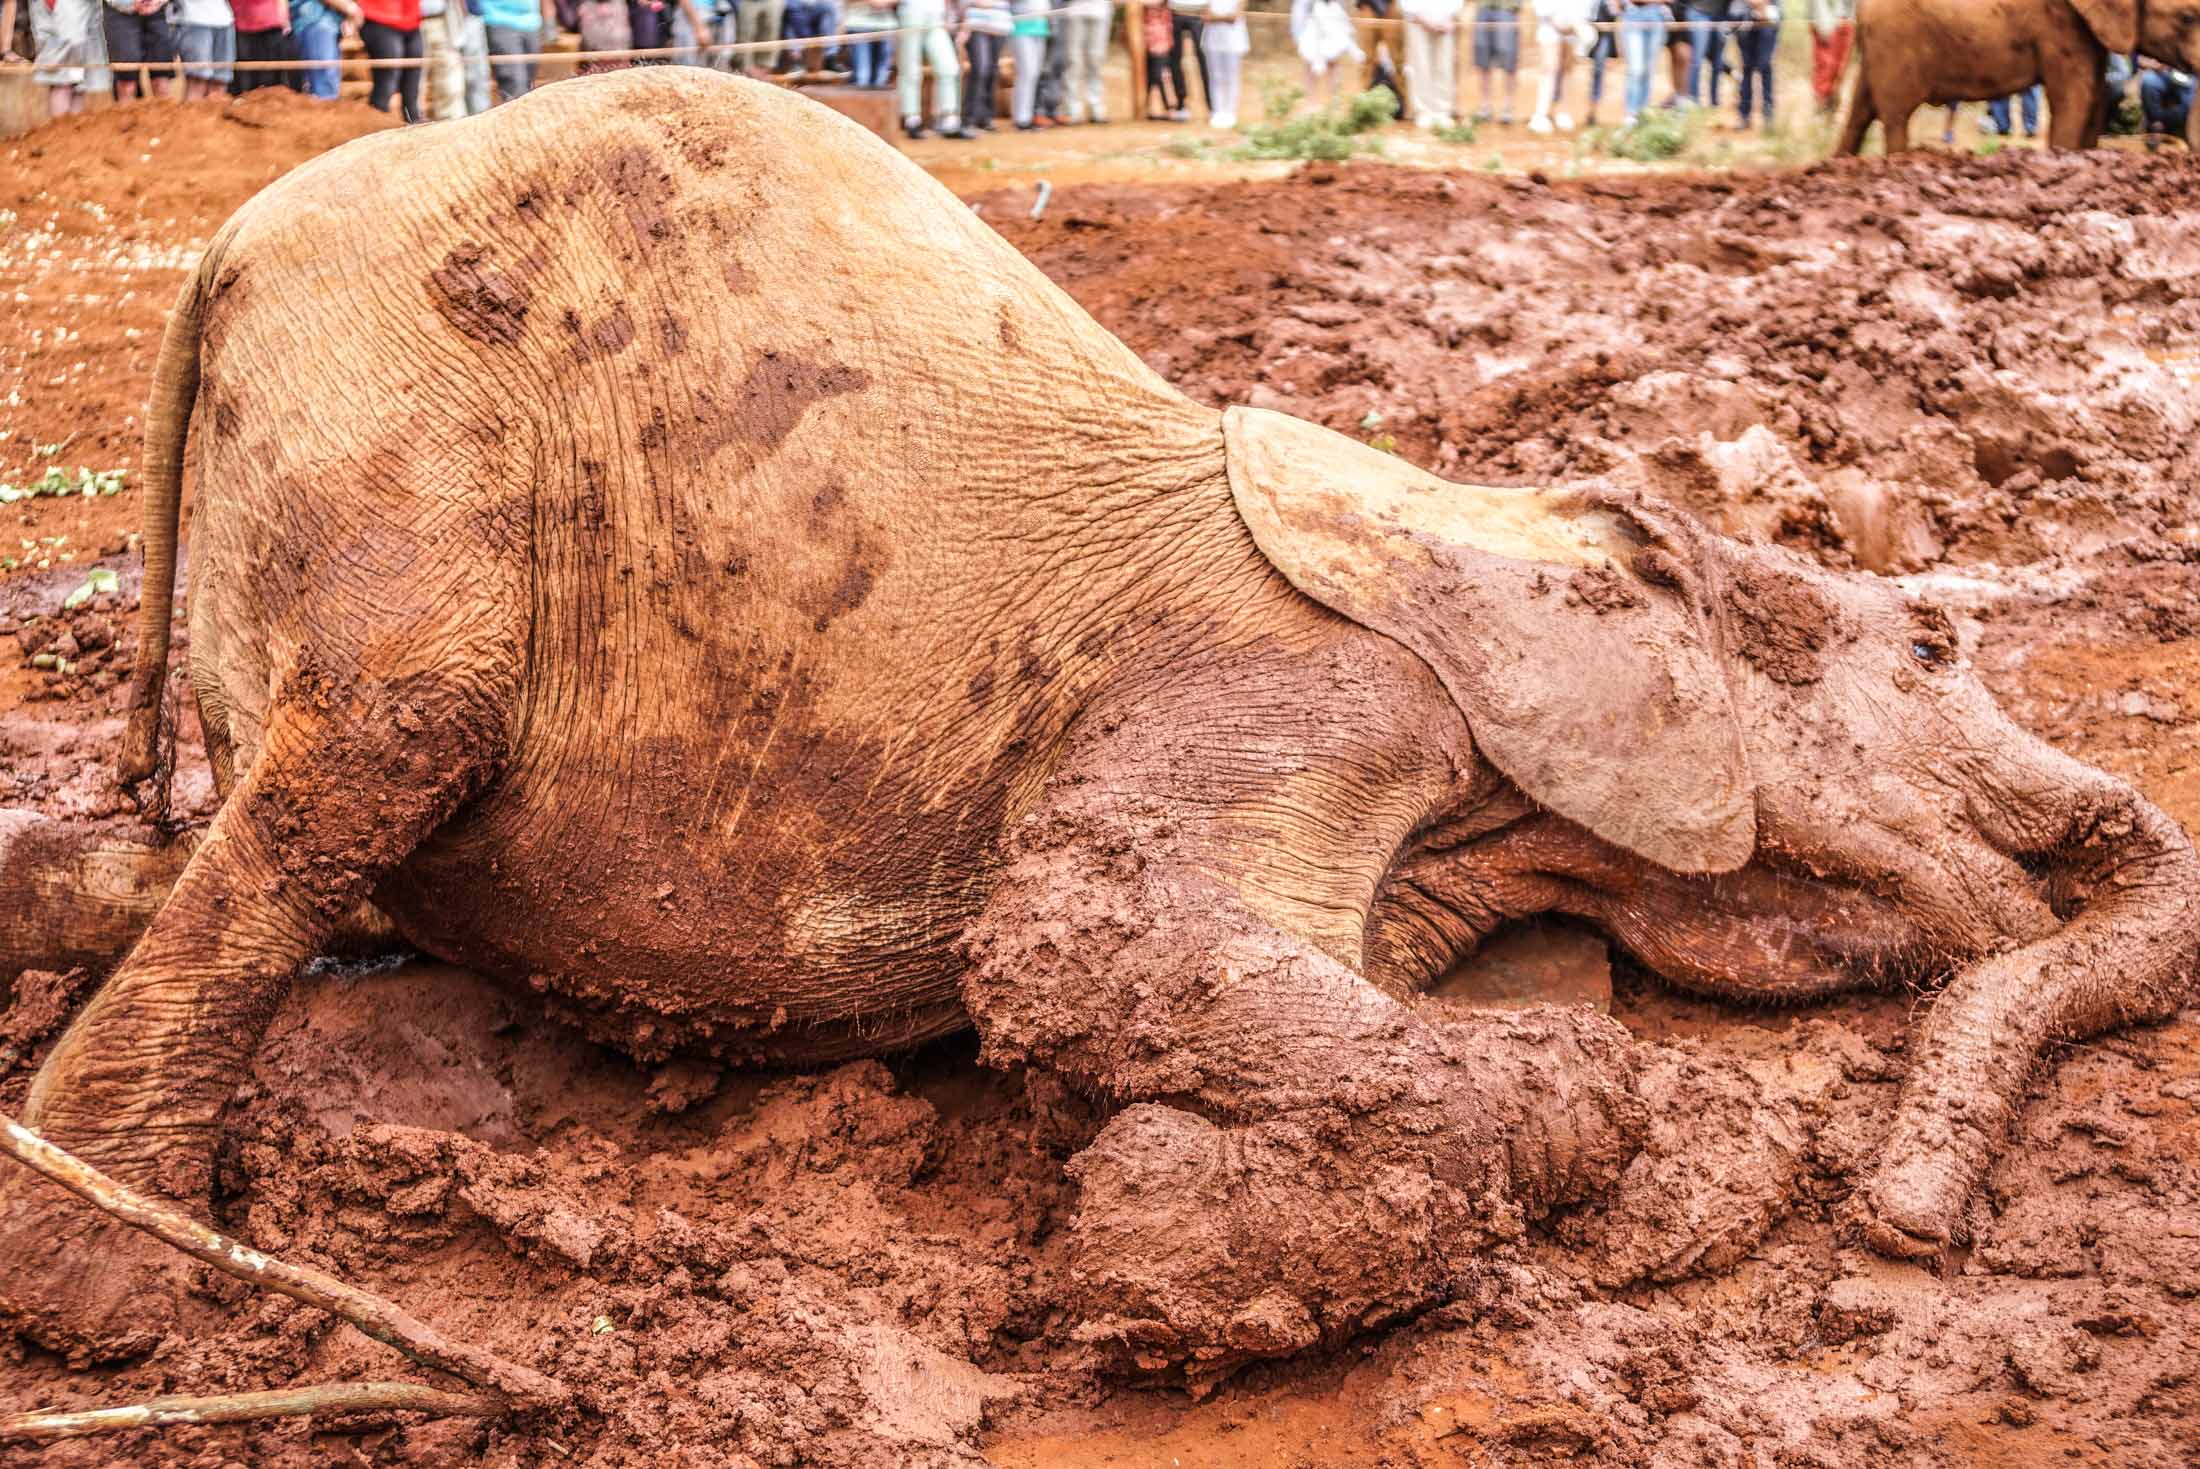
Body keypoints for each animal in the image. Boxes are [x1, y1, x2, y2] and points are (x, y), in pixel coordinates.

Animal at [2, 68, 2194, 1380]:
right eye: (1931, 641)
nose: (1904, 1221)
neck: (1489, 511)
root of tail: (227, 242)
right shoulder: (1289, 687)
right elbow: (1082, 940)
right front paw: (1133, 1255)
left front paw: (1161, 1221)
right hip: (401, 449)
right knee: (374, 757)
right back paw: (114, 1286)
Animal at [1837, 0, 2200, 154]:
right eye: (2186, 17)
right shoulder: (2057, 26)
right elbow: (2074, 97)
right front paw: (2066, 156)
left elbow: (2096, 94)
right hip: (1895, 42)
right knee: (1895, 115)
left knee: (1860, 112)